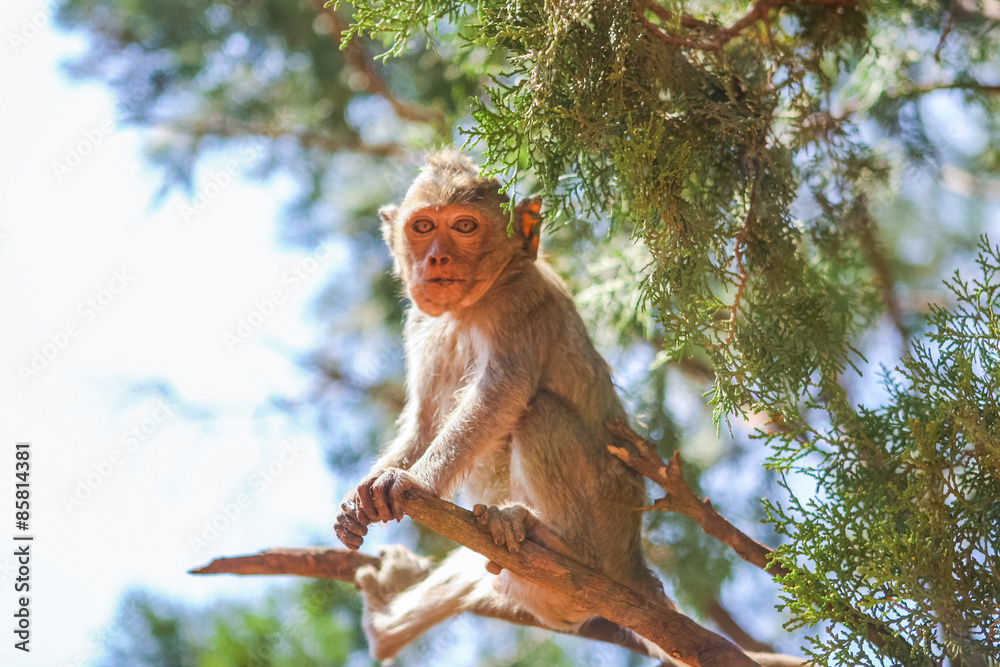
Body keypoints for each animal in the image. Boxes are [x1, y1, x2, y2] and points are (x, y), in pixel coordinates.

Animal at [333, 151, 672, 661]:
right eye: (423, 226)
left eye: (465, 226)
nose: (436, 257)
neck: (470, 306)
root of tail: (633, 560)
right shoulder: (420, 325)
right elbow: (423, 424)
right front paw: (362, 497)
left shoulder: (519, 301)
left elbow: (504, 392)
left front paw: (412, 482)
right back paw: (385, 627)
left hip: (608, 518)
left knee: (539, 412)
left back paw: (568, 548)